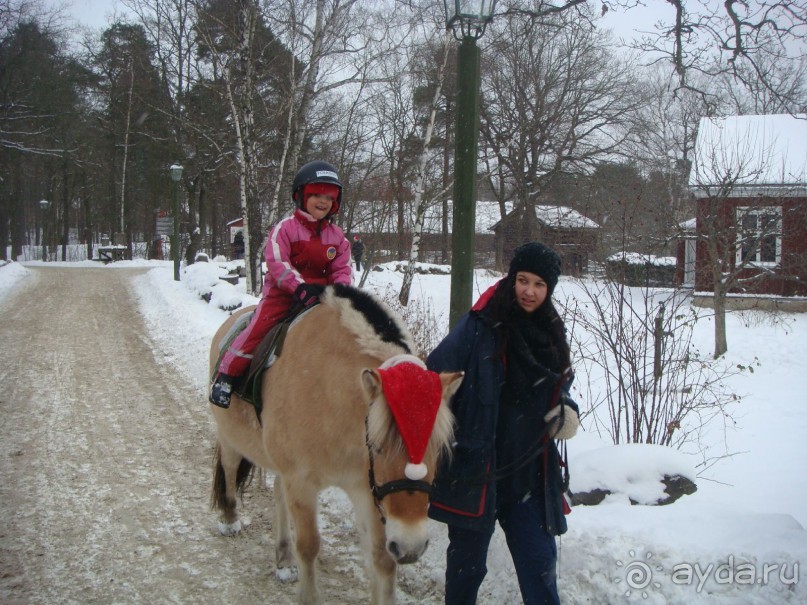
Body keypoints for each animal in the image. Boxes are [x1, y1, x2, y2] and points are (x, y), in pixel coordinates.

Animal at [210, 284, 460, 604]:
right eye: (378, 448)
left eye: (436, 451)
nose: (411, 546)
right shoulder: (301, 482)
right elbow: (309, 546)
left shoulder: (367, 490)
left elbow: (382, 559)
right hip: (231, 438)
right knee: (229, 469)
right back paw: (230, 519)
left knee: (278, 493)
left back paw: (284, 558)